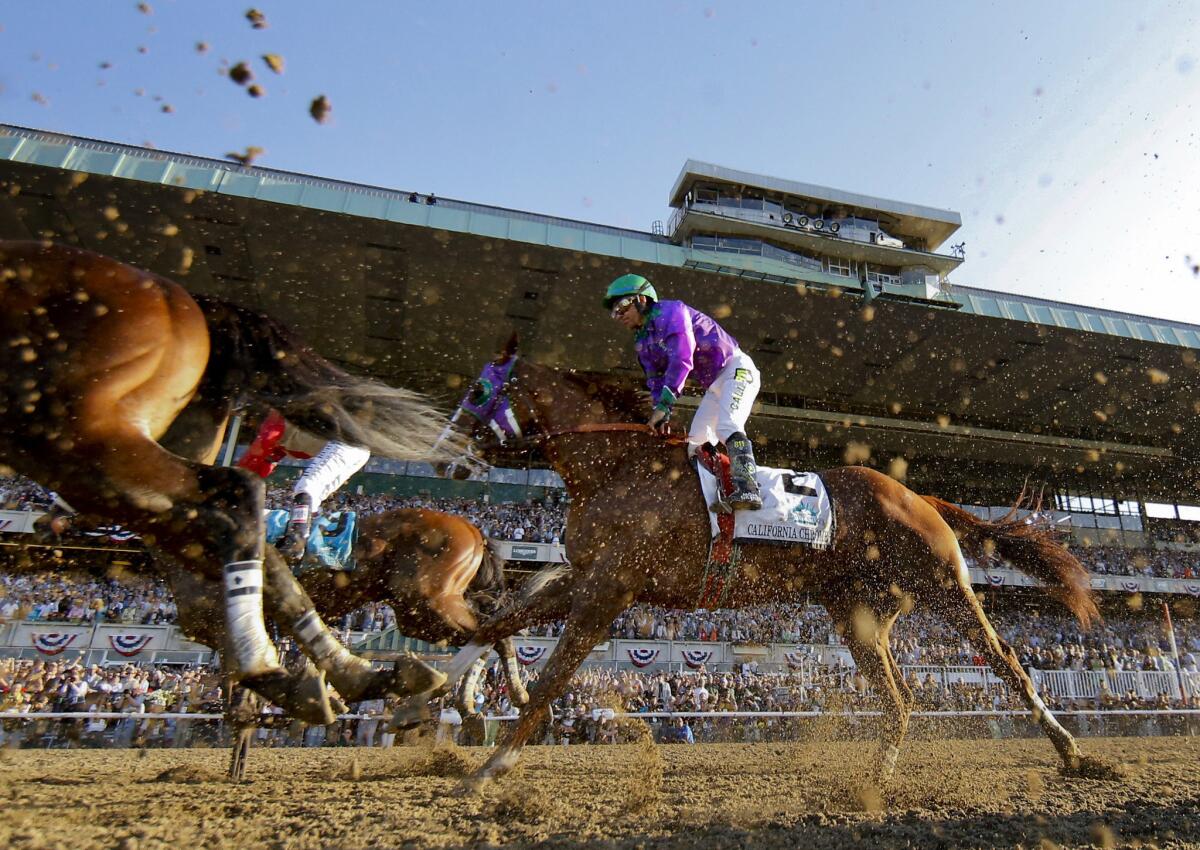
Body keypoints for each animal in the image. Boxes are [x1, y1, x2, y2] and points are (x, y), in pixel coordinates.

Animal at [420, 333, 1113, 792]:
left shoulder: (609, 588)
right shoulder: (585, 579)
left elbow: (552, 677)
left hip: (945, 586)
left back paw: (1071, 750)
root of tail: (918, 495)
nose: (440, 454)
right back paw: (874, 779)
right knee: (901, 698)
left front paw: (489, 768)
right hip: (860, 615)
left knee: (1006, 663)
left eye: (477, 390)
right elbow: (496, 624)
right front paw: (443, 686)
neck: (616, 466)